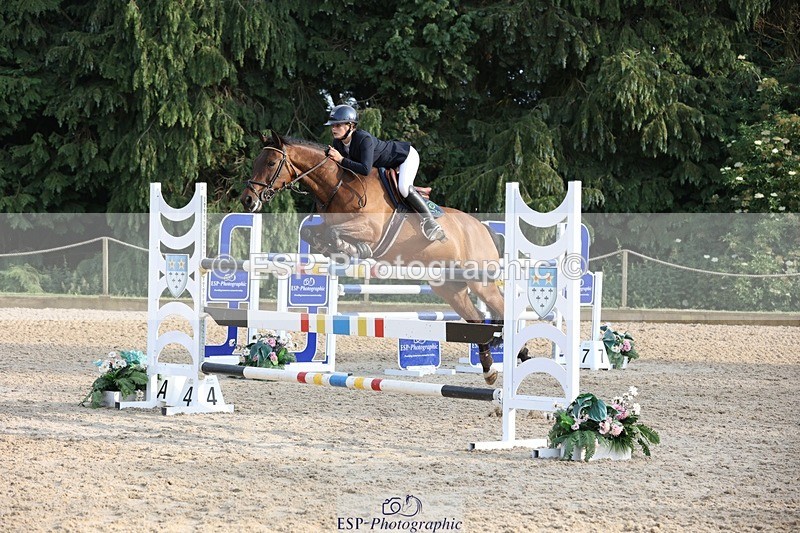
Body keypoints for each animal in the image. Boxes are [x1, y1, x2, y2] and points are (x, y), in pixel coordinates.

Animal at [241, 130, 519, 385]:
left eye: (271, 163)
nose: (248, 200)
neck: (338, 185)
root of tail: (482, 228)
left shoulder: (371, 228)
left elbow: (337, 233)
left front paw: (353, 249)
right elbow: (311, 231)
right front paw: (337, 249)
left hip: (480, 282)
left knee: (501, 308)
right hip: (451, 289)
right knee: (478, 320)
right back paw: (490, 369)